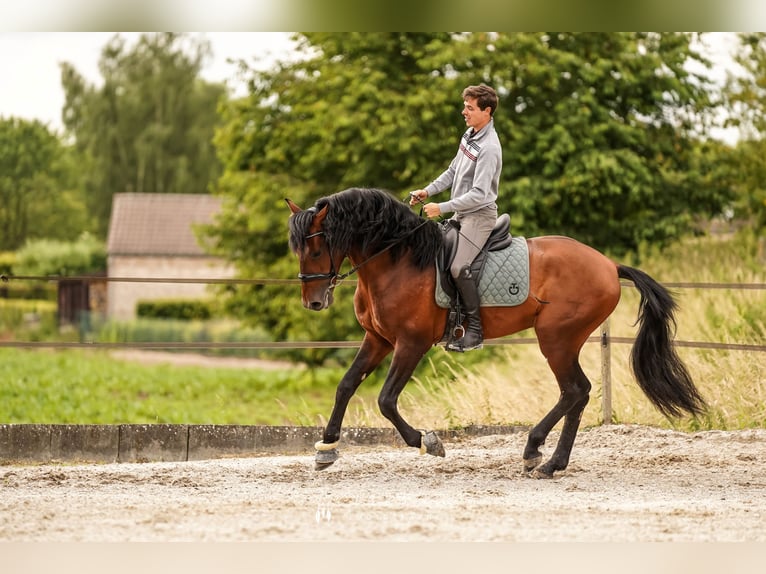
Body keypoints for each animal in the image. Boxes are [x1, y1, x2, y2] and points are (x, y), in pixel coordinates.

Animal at [284, 188, 704, 476]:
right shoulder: (379, 339)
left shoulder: (411, 343)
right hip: (563, 340)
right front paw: (326, 448)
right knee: (578, 393)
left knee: (575, 390)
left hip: (556, 339)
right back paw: (551, 461)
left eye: (317, 249)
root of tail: (608, 264)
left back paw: (538, 454)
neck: (397, 261)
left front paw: (427, 442)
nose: (314, 303)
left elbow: (386, 400)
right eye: (298, 251)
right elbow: (346, 385)